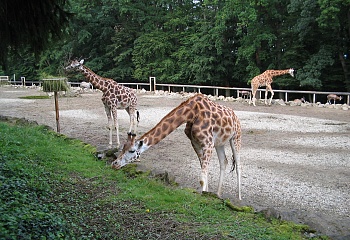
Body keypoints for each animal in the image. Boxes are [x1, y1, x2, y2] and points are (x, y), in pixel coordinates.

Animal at [110, 93, 242, 200]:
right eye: (123, 147)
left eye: (132, 151)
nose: (114, 164)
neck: (192, 113)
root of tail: (235, 116)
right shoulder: (195, 143)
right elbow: (203, 176)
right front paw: (207, 194)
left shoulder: (208, 144)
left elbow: (202, 177)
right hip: (220, 142)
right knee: (224, 162)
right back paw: (218, 194)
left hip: (236, 137)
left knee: (238, 166)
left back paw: (239, 198)